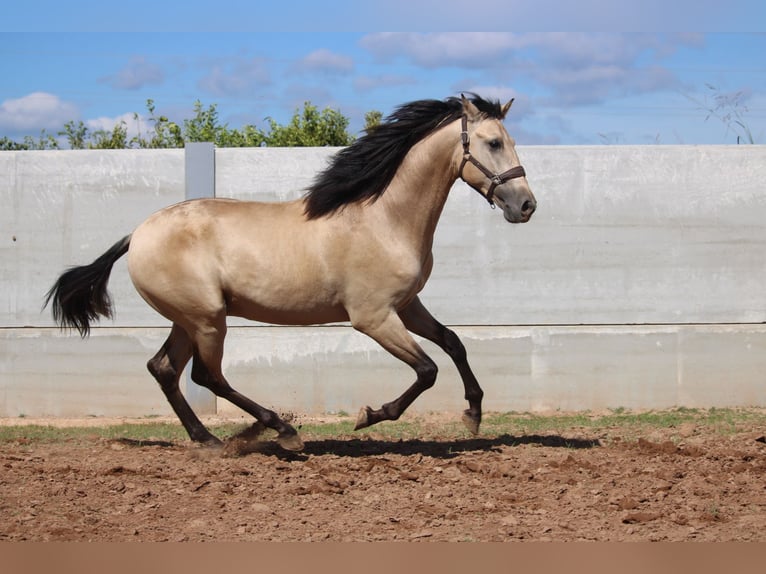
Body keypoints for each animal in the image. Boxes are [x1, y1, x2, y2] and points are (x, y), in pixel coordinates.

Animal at [46, 95, 540, 454]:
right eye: (493, 142)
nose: (526, 205)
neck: (385, 219)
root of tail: (138, 233)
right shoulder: (373, 317)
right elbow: (427, 369)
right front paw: (369, 415)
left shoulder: (406, 306)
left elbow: (453, 343)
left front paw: (473, 415)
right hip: (208, 319)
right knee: (207, 376)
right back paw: (280, 431)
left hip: (188, 319)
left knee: (163, 368)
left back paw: (208, 440)